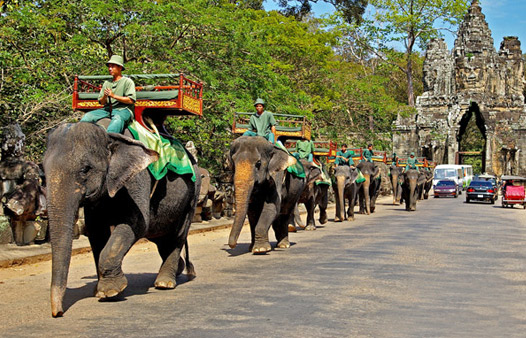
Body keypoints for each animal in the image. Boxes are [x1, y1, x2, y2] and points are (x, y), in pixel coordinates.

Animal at [42, 123, 200, 318]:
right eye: (43, 171)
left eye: (85, 169)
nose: (58, 313)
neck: (108, 133)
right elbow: (96, 231)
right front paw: (99, 291)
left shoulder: (137, 180)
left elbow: (136, 225)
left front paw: (110, 292)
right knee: (162, 240)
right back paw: (178, 269)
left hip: (193, 196)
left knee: (177, 236)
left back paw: (164, 284)